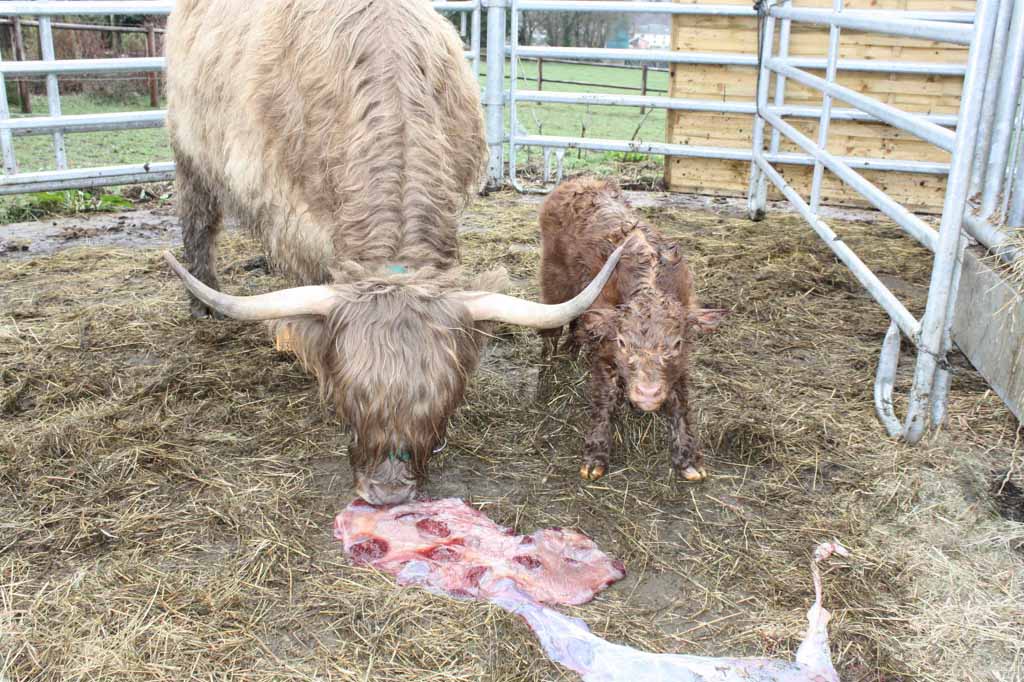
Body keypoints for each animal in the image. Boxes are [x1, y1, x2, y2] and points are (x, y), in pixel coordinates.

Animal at [161, 1, 622, 503]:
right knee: (198, 220)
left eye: (443, 403)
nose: (388, 493)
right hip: (189, 149)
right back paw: (205, 304)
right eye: (348, 400)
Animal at [536, 178, 729, 481]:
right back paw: (546, 373)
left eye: (675, 344)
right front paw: (595, 457)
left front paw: (689, 459)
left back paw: (571, 349)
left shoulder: (682, 361)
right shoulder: (605, 349)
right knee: (552, 326)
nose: (647, 394)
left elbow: (681, 401)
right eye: (623, 342)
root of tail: (581, 179)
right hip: (554, 276)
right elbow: (605, 396)